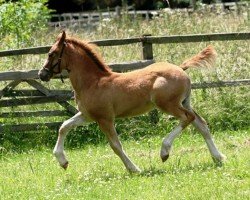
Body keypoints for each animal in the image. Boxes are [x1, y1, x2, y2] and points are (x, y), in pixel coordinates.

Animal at [38, 31, 226, 173]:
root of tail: (181, 68)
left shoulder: (105, 119)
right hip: (185, 102)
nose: (42, 74)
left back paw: (164, 152)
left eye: (51, 53)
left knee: (187, 118)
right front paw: (63, 161)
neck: (93, 82)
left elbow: (115, 145)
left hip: (168, 105)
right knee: (201, 124)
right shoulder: (87, 115)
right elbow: (64, 126)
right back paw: (218, 157)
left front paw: (134, 169)